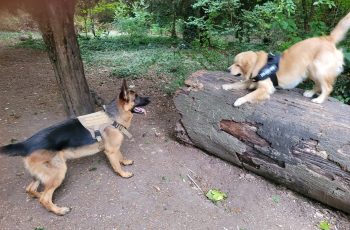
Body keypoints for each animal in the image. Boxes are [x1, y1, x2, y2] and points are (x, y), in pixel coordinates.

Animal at [0, 79, 149, 216]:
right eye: (136, 97)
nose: (150, 99)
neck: (113, 117)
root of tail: (26, 144)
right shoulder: (111, 151)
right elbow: (117, 164)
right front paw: (123, 174)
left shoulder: (114, 148)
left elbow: (120, 155)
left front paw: (125, 161)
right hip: (58, 173)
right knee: (44, 199)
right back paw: (59, 210)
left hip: (41, 175)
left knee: (30, 189)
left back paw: (38, 195)